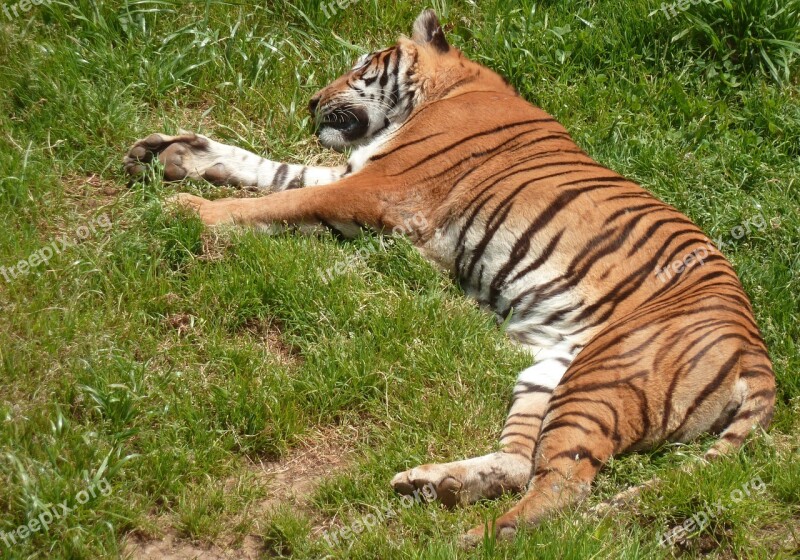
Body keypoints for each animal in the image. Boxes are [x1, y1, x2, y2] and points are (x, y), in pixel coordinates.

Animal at [123, 7, 776, 544]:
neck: (446, 90)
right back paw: (438, 485)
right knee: (521, 463)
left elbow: (274, 200)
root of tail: (757, 353)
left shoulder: (376, 187)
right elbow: (274, 172)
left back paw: (481, 534)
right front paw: (173, 154)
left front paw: (184, 211)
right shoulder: (357, 175)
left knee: (566, 487)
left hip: (604, 377)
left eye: (360, 66)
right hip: (551, 372)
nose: (309, 102)